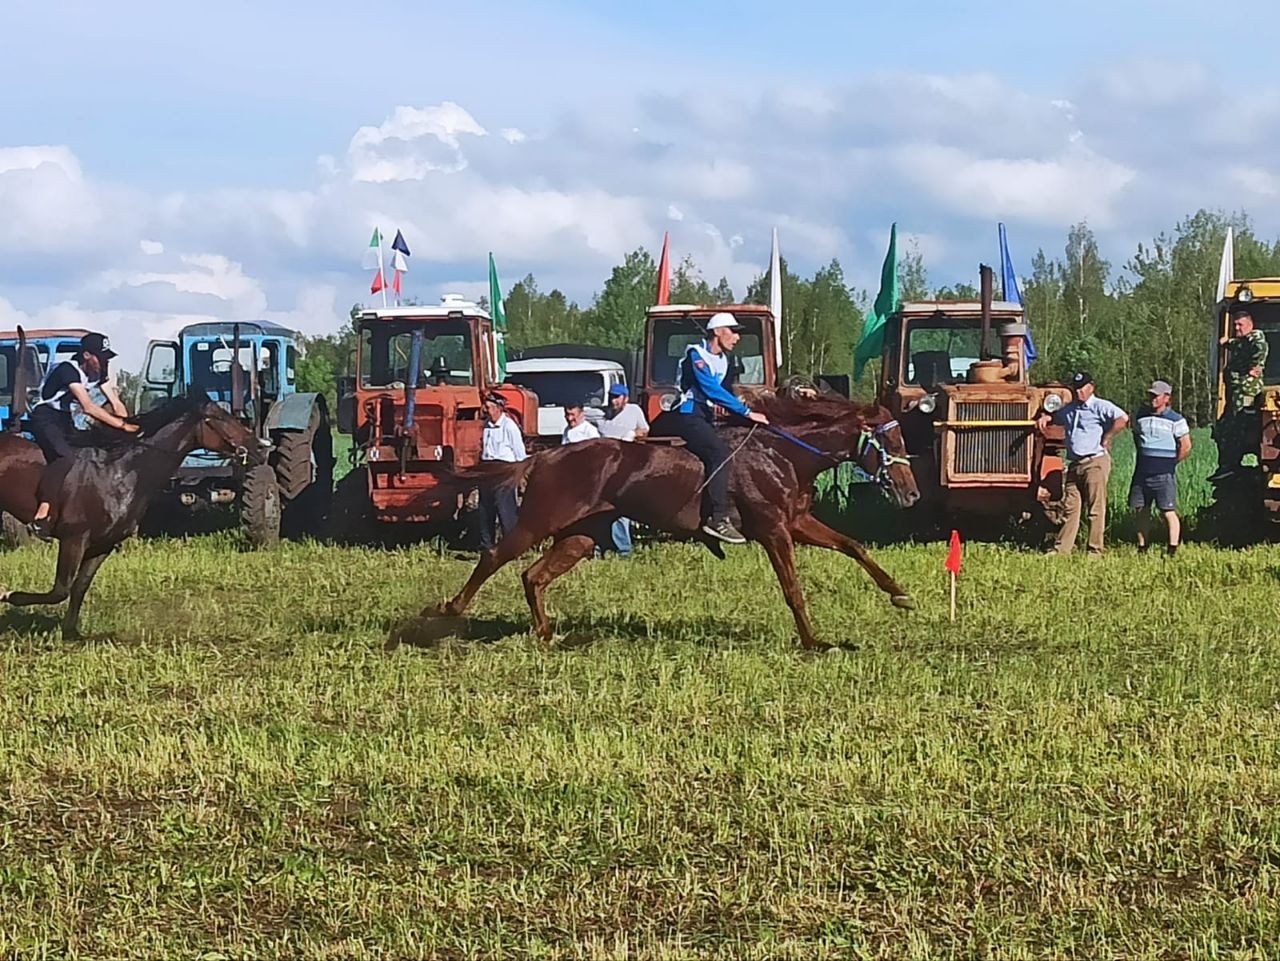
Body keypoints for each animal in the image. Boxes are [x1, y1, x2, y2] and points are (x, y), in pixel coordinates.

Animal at [0, 394, 262, 642]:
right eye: (218, 418)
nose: (260, 448)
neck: (120, 473)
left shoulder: (102, 545)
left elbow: (79, 587)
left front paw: (71, 633)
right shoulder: (74, 538)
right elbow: (61, 590)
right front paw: (8, 595)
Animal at [422, 391, 921, 655]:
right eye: (891, 439)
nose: (912, 493)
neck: (782, 454)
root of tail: (543, 456)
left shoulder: (797, 523)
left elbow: (854, 546)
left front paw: (900, 594)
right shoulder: (775, 532)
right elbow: (793, 589)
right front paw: (815, 641)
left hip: (579, 537)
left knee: (533, 575)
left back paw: (548, 634)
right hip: (538, 522)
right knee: (493, 557)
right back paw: (446, 611)